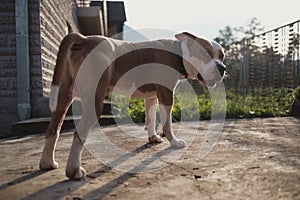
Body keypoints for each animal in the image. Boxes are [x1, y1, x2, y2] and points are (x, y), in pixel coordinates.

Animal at [40, 31, 227, 180]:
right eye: (205, 53)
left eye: (222, 56)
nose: (222, 68)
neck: (179, 53)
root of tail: (84, 39)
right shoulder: (166, 95)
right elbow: (167, 124)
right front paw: (174, 142)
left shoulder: (151, 97)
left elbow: (151, 119)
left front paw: (153, 137)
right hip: (94, 101)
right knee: (79, 133)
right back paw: (74, 170)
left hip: (63, 97)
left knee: (53, 129)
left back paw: (47, 163)